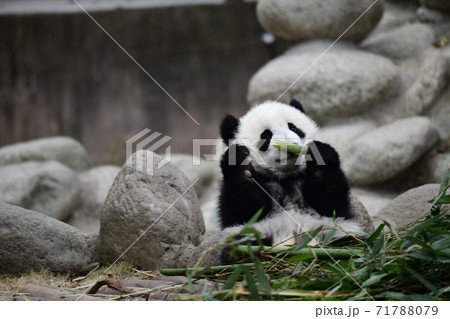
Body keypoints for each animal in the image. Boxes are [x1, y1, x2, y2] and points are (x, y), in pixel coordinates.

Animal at [217, 100, 362, 248]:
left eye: (293, 128)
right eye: (266, 135)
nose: (290, 146)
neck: (286, 177)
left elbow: (330, 201)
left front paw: (320, 158)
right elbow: (243, 208)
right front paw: (242, 165)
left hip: (333, 232)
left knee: (348, 243)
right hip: (255, 236)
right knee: (242, 246)